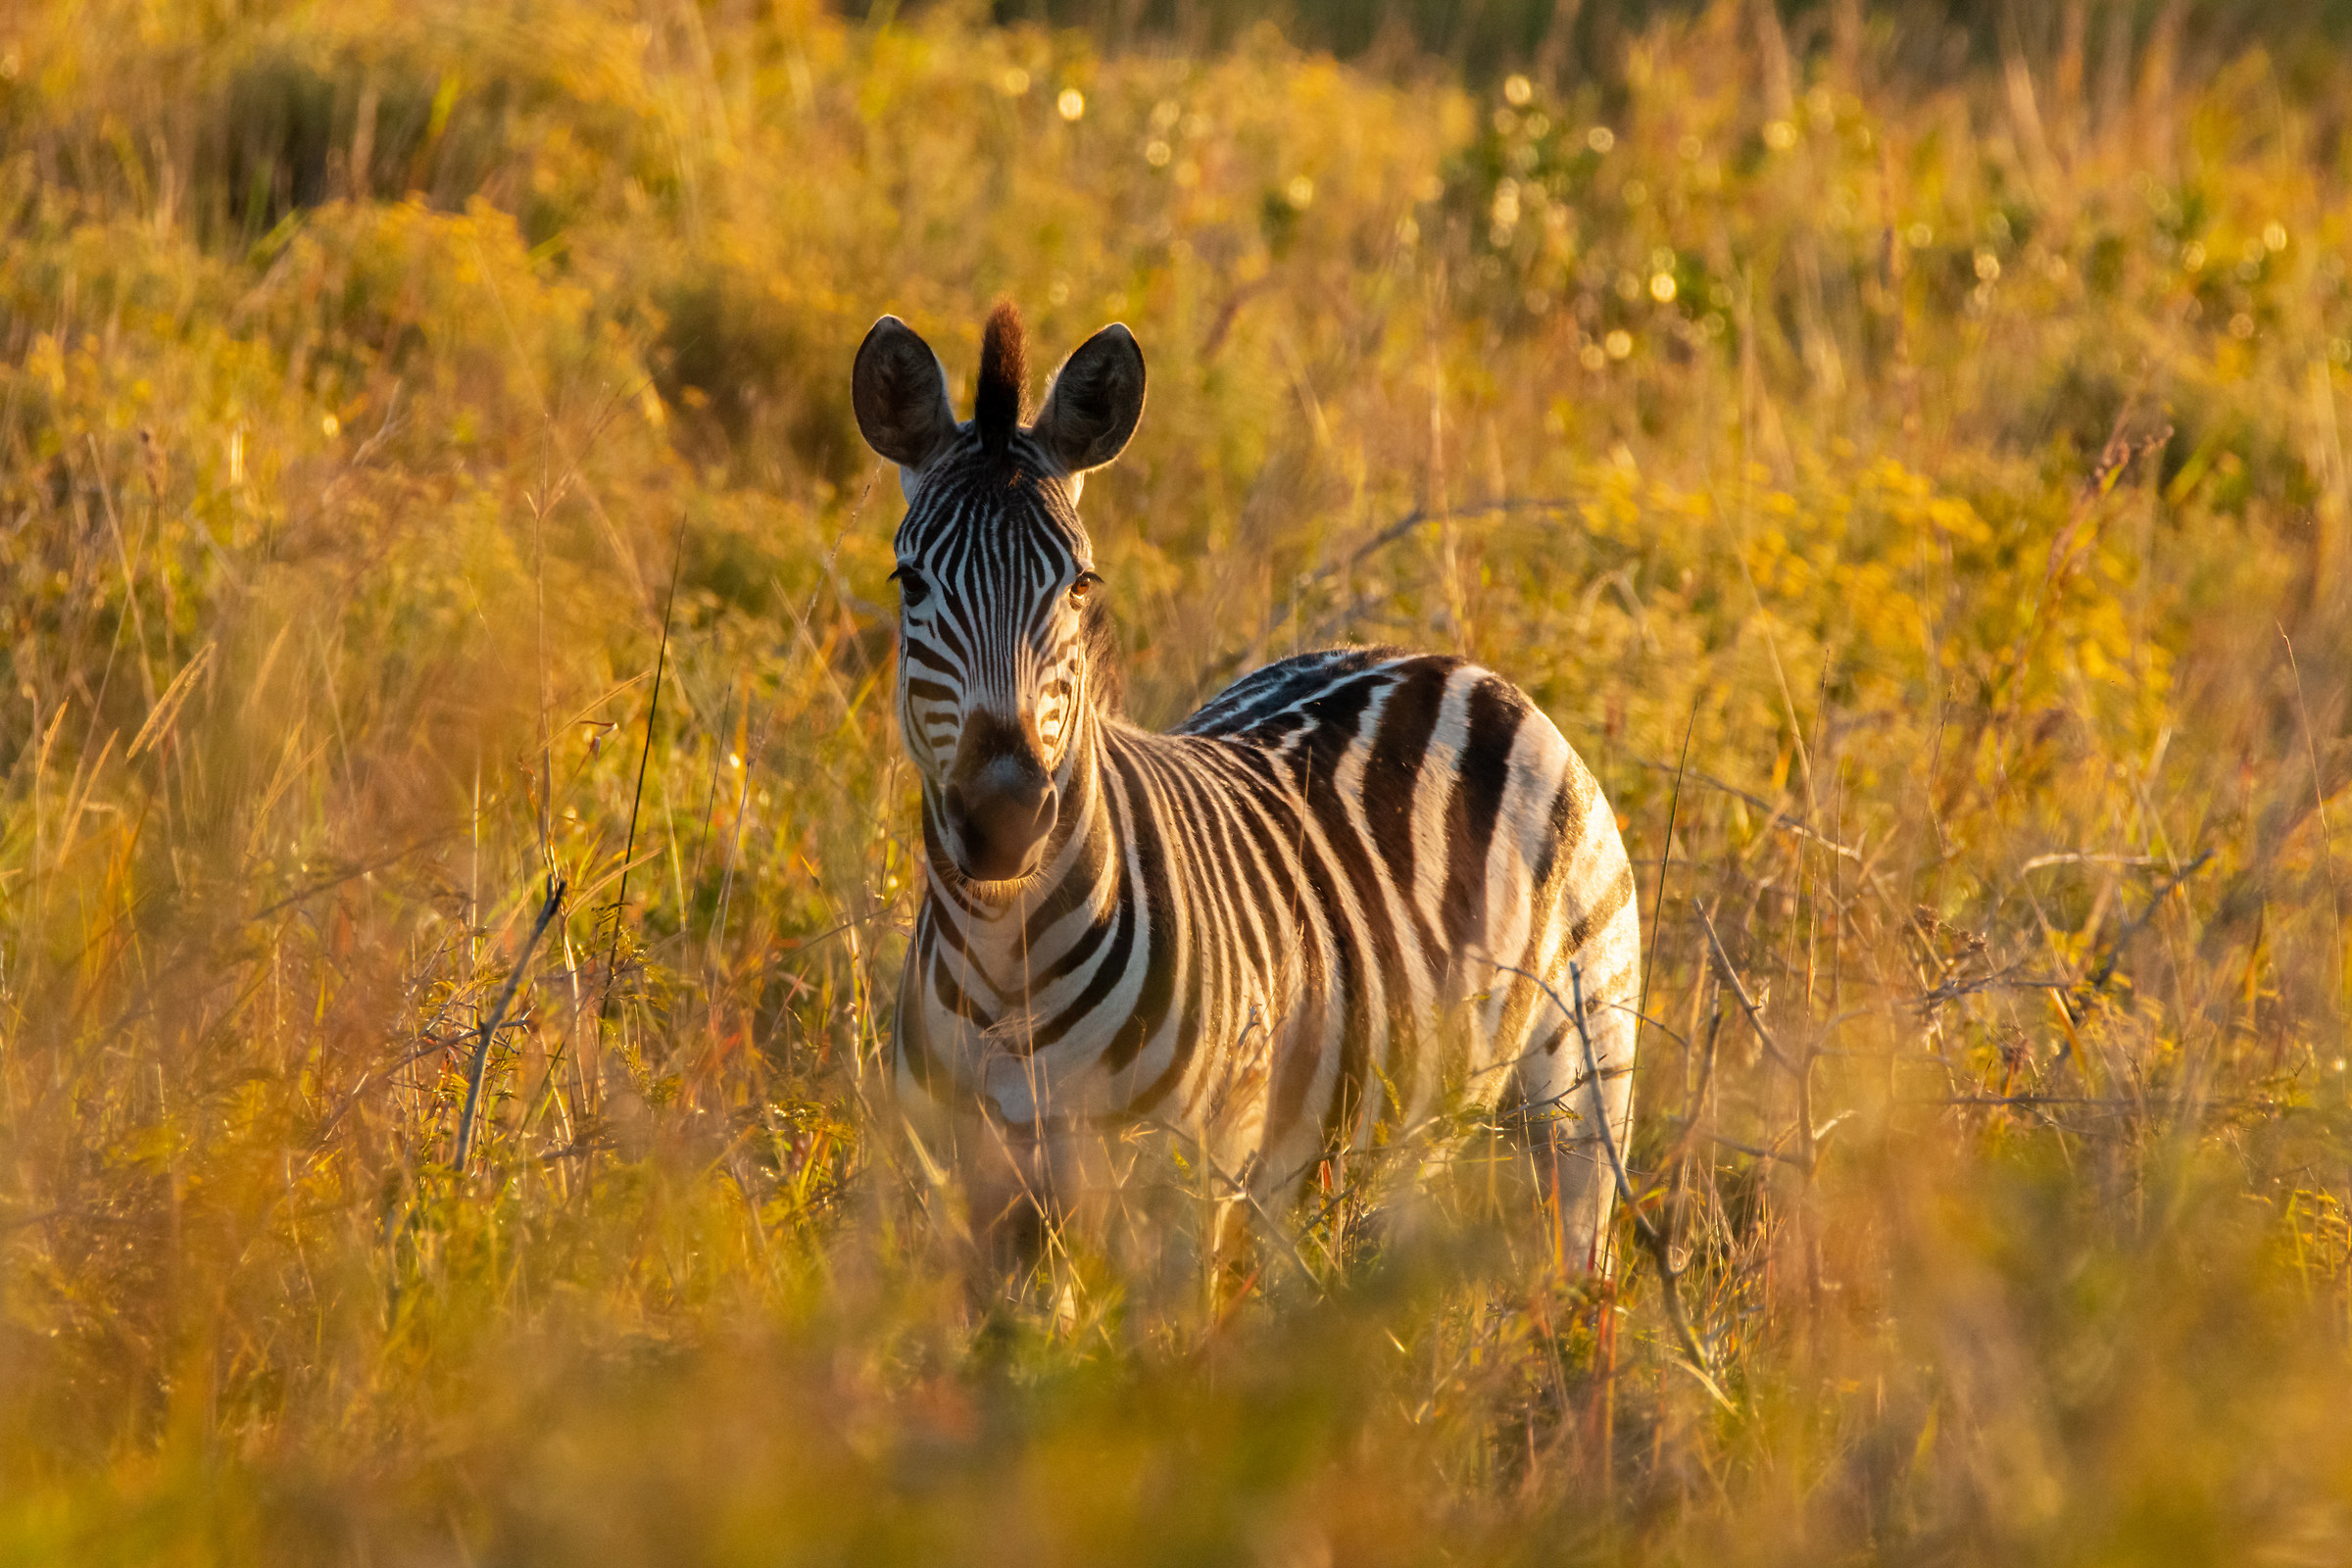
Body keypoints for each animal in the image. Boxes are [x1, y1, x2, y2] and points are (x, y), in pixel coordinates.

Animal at [854, 302, 1640, 1272]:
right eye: (910, 580)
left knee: (1576, 1257)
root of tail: (1452, 665)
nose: (1004, 818)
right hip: (1405, 1128)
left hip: (1585, 1082)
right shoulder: (958, 1186)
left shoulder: (1181, 1186)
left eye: (1080, 585)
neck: (1009, 960)